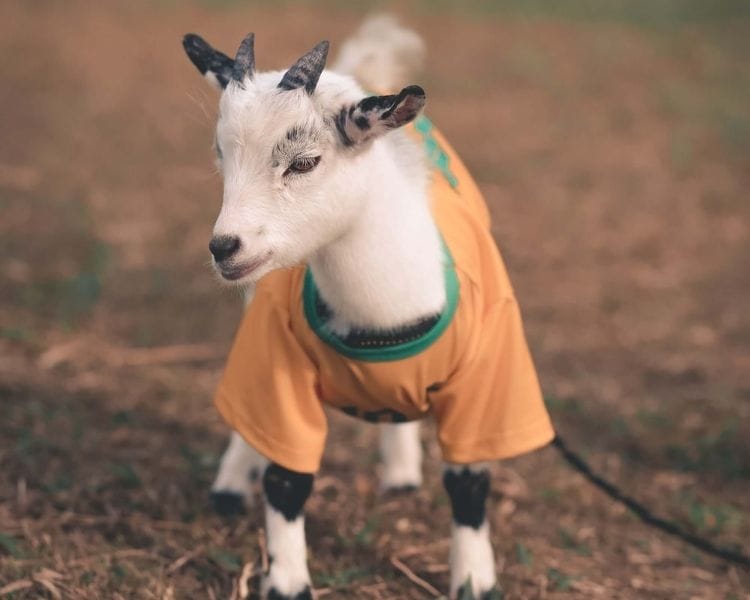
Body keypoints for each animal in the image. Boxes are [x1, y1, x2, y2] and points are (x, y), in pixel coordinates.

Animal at [182, 16, 554, 599]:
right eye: (221, 154)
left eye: (305, 162)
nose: (224, 247)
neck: (384, 317)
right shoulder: (277, 361)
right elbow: (285, 476)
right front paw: (287, 581)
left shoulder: (488, 379)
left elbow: (470, 482)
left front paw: (474, 579)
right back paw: (230, 485)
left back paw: (400, 475)